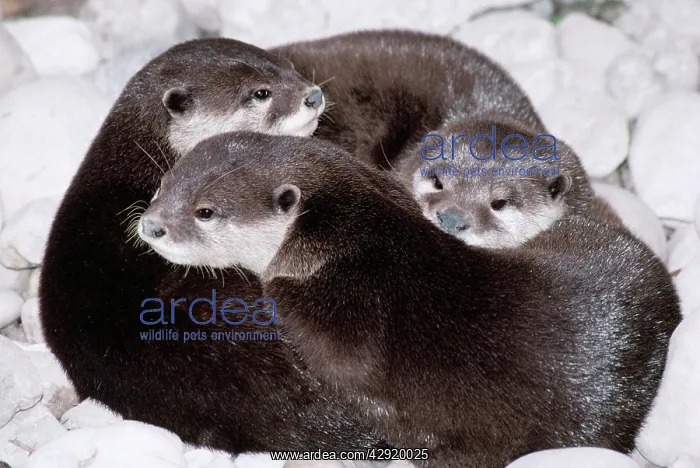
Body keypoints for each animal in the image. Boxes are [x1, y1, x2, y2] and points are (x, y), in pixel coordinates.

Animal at [138, 132, 680, 467]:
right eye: (162, 184)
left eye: (206, 211)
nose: (151, 225)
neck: (349, 235)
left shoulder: (345, 300)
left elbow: (339, 351)